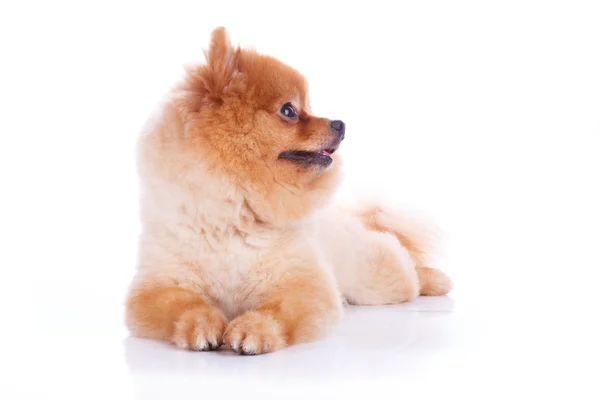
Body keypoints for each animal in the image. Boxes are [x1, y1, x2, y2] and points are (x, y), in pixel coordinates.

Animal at [127, 27, 454, 354]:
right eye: (289, 110)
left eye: (307, 106)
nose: (340, 124)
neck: (235, 214)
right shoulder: (158, 284)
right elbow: (184, 305)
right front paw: (201, 325)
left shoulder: (304, 284)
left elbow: (277, 312)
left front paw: (253, 330)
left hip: (375, 279)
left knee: (406, 269)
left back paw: (436, 280)